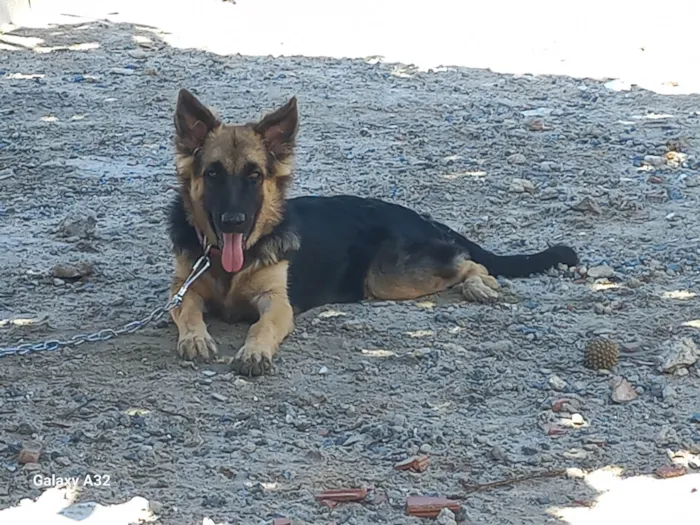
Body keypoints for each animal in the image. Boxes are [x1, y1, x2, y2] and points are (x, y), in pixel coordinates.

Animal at [167, 88, 576, 374]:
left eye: (253, 176)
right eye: (214, 174)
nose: (232, 221)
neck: (228, 266)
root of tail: (414, 214)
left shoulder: (277, 303)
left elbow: (262, 327)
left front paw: (254, 352)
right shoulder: (182, 288)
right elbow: (188, 311)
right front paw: (196, 337)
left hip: (388, 278)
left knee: (467, 262)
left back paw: (478, 285)